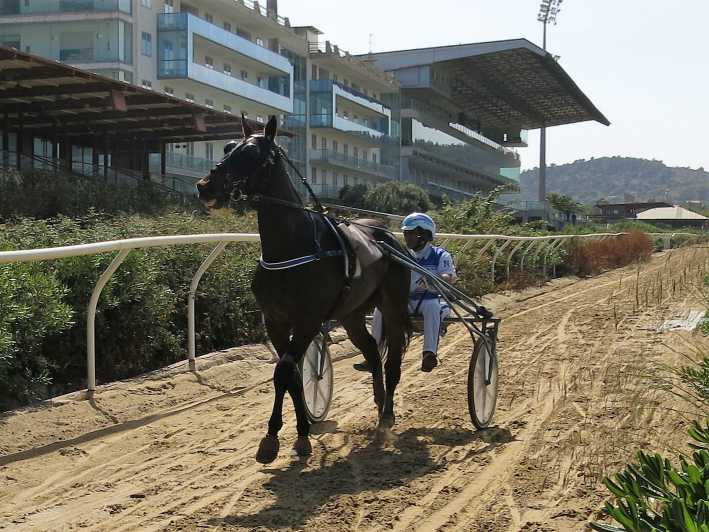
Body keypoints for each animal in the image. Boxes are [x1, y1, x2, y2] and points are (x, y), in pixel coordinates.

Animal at [196, 115, 412, 462]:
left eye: (252, 152)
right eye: (228, 147)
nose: (205, 186)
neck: (291, 248)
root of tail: (388, 236)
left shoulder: (308, 319)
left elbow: (284, 370)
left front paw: (278, 436)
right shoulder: (275, 321)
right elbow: (292, 374)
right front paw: (294, 434)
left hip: (392, 305)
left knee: (392, 360)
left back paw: (387, 418)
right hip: (351, 314)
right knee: (371, 351)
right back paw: (379, 405)